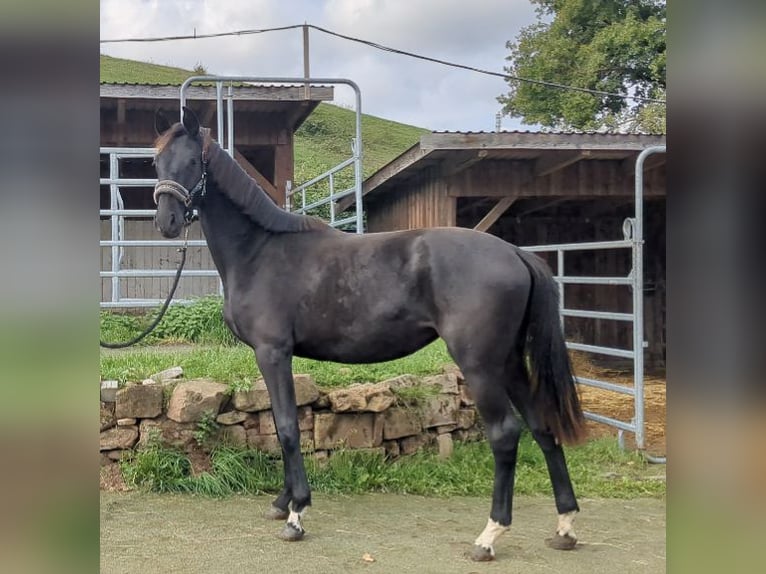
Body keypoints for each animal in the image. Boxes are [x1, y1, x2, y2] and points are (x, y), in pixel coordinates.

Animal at [151, 107, 586, 561]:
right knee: (542, 427)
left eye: (193, 162)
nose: (166, 222)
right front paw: (282, 503)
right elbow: (280, 424)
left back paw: (488, 536)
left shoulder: (273, 353)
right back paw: (565, 526)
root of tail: (515, 253)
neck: (261, 251)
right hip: (510, 362)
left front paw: (296, 514)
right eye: (156, 162)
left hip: (481, 365)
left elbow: (287, 428)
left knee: (504, 434)